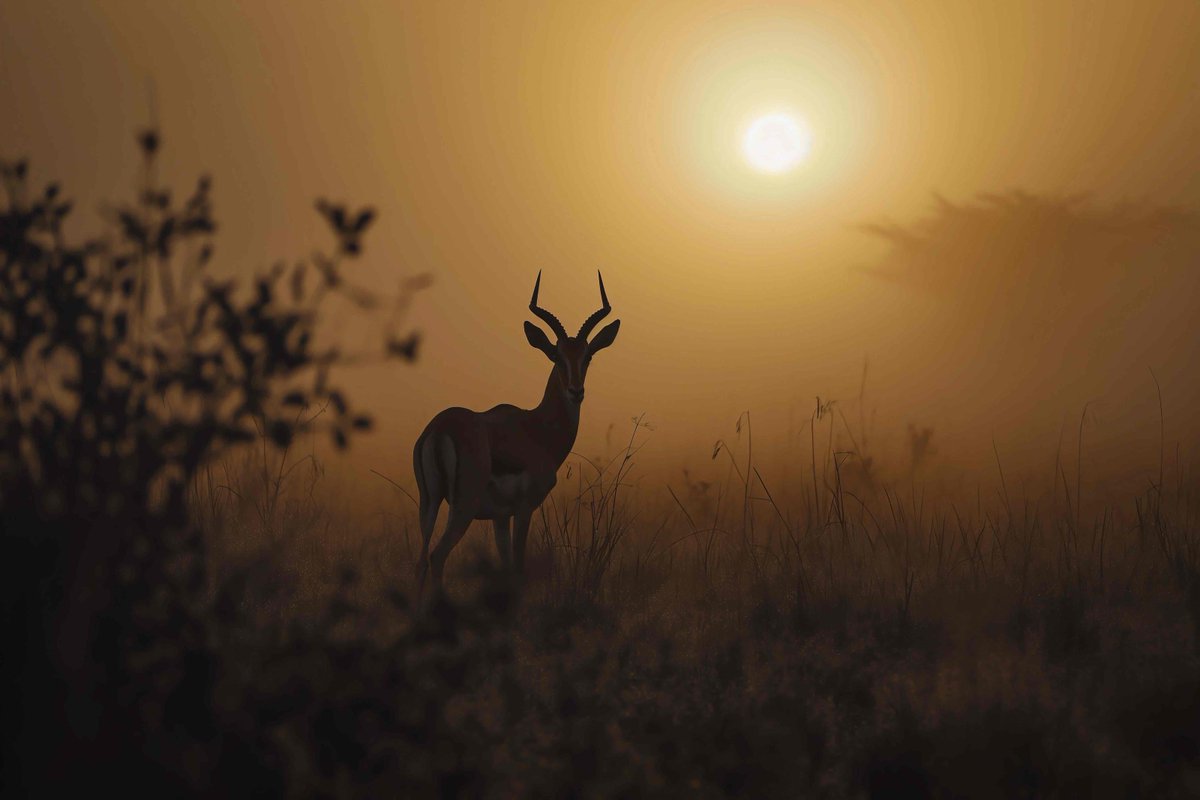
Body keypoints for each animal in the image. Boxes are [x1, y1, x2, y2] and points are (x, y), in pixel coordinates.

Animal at [413, 271, 621, 591]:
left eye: (587, 357)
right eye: (556, 356)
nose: (576, 391)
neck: (536, 430)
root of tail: (439, 430)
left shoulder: (500, 517)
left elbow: (506, 568)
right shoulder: (524, 509)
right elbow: (518, 570)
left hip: (429, 503)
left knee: (421, 561)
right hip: (462, 508)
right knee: (437, 556)